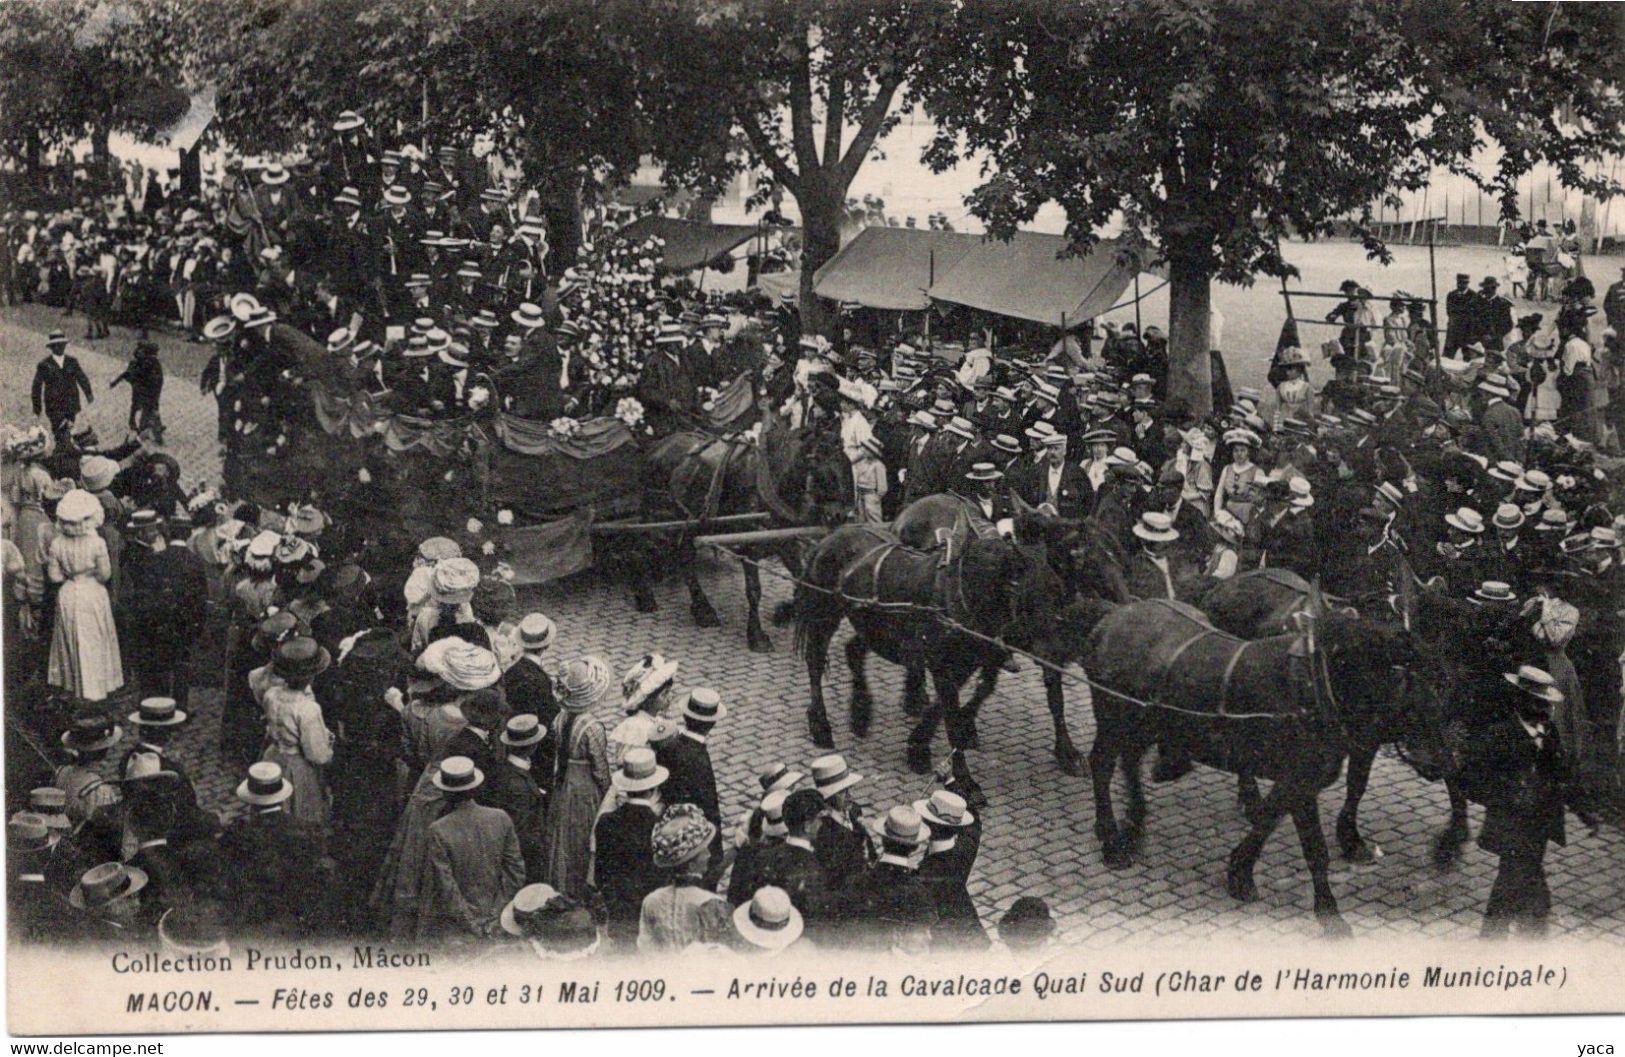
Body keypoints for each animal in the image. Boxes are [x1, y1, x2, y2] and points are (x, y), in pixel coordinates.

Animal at [786, 517, 1066, 800]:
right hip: (824, 614)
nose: (1057, 657)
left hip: (873, 624)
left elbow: (943, 707)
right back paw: (821, 725)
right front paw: (966, 782)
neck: (961, 594)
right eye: (1029, 599)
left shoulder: (964, 665)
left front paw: (917, 748)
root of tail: (830, 538)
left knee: (853, 650)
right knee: (815, 662)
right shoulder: (943, 666)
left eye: (1058, 593)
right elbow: (951, 721)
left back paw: (860, 714)